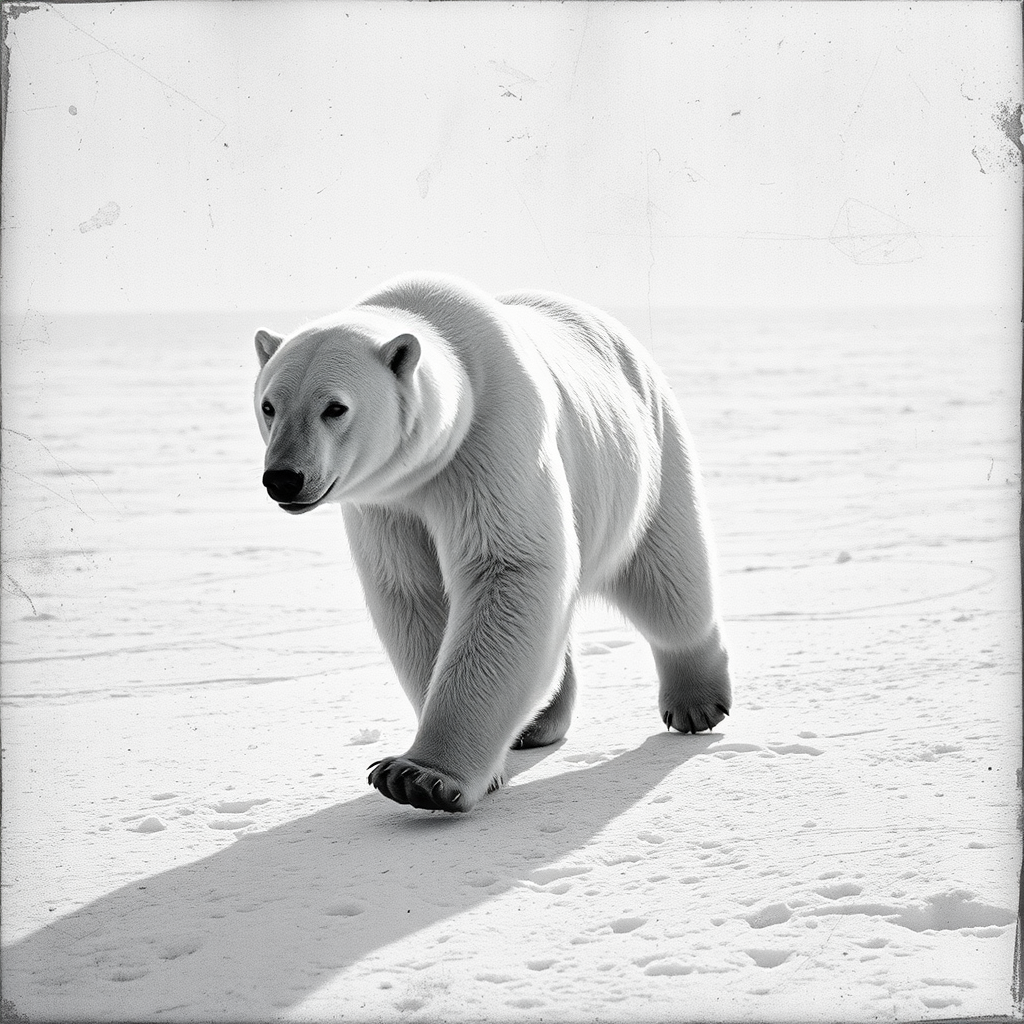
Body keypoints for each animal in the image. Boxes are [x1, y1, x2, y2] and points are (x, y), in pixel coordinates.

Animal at [253, 273, 730, 813]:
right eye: (269, 406)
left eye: (335, 407)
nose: (284, 478)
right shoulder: (387, 502)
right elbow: (414, 592)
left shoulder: (489, 442)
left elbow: (508, 567)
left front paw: (418, 777)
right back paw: (538, 724)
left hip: (649, 458)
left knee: (668, 580)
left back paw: (697, 703)